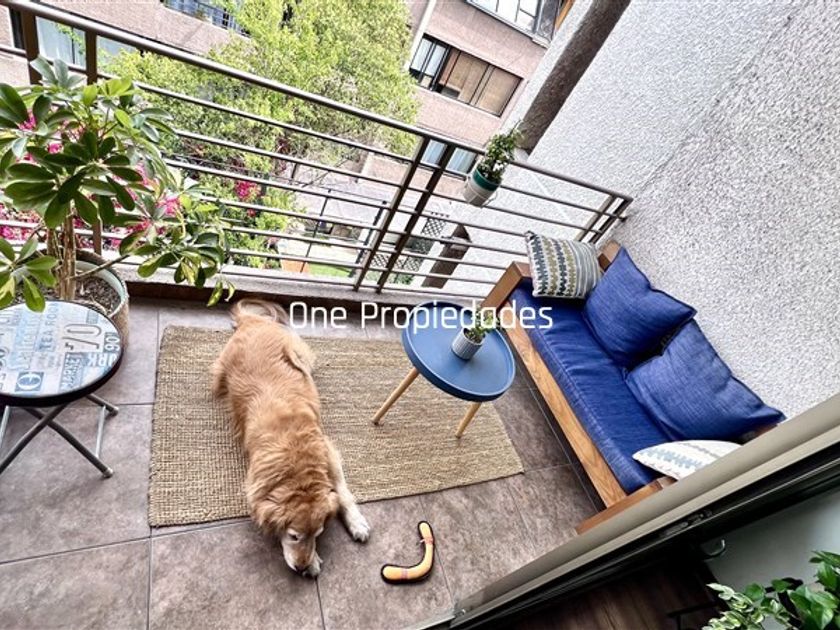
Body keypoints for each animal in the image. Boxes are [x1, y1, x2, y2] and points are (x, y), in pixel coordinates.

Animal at [211, 299, 370, 577]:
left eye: (318, 533)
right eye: (294, 536)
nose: (301, 566)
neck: (297, 458)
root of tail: (253, 323)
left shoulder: (327, 449)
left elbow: (342, 491)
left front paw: (356, 522)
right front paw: (314, 561)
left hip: (300, 353)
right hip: (222, 368)